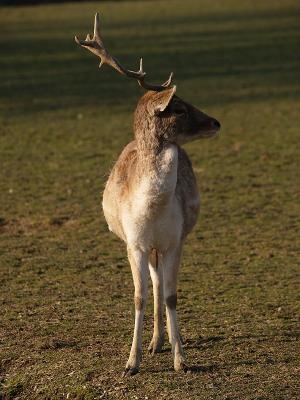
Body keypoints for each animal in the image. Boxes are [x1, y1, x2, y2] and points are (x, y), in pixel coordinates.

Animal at [75, 11, 220, 376]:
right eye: (178, 108)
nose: (216, 123)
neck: (150, 211)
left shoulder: (175, 239)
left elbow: (172, 295)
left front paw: (181, 359)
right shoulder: (134, 243)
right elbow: (139, 297)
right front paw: (132, 362)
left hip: (165, 245)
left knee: (160, 284)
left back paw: (162, 341)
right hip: (147, 248)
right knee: (153, 282)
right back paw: (154, 343)